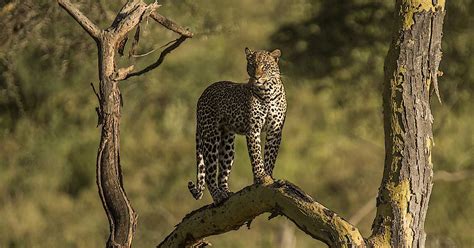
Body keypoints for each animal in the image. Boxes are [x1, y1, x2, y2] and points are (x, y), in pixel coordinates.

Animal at [188, 48, 286, 203]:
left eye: (265, 66)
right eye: (251, 65)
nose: (257, 77)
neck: (268, 91)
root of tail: (202, 95)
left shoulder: (275, 130)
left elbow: (270, 157)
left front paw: (269, 177)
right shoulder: (253, 130)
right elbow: (256, 156)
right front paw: (260, 177)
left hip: (228, 143)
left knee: (222, 173)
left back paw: (227, 192)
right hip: (211, 137)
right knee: (210, 173)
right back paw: (218, 196)